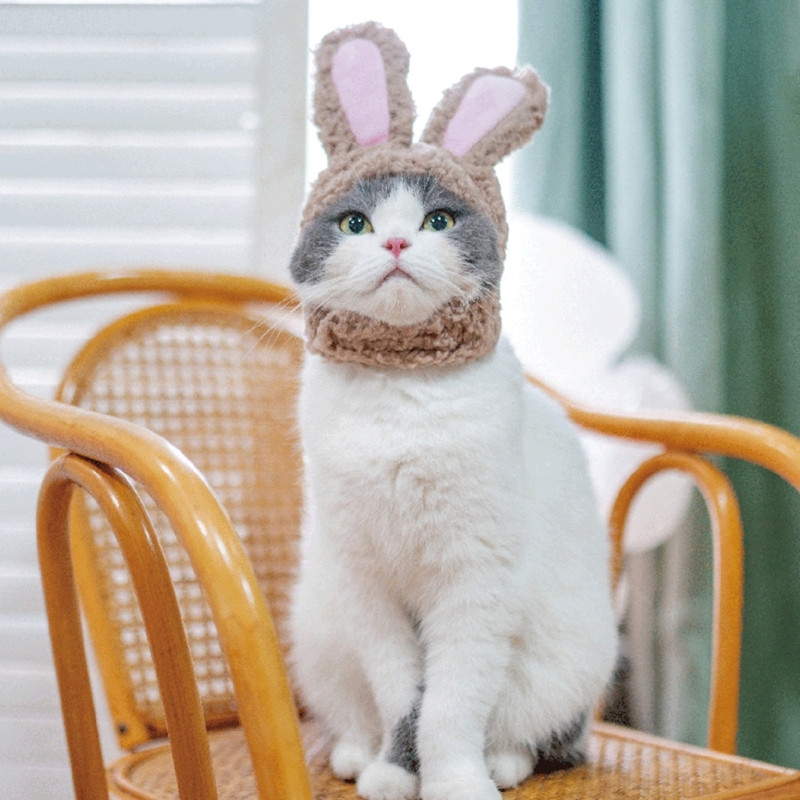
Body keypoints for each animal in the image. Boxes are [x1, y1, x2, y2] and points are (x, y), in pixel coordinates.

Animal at [287, 22, 617, 800]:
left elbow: (451, 703)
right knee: (353, 711)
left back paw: (503, 763)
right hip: (319, 629)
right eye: (355, 223)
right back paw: (356, 755)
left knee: (552, 735)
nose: (396, 241)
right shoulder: (367, 586)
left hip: (571, 650)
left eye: (439, 219)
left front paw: (456, 782)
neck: (401, 395)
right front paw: (391, 772)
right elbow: (402, 694)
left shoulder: (475, 584)